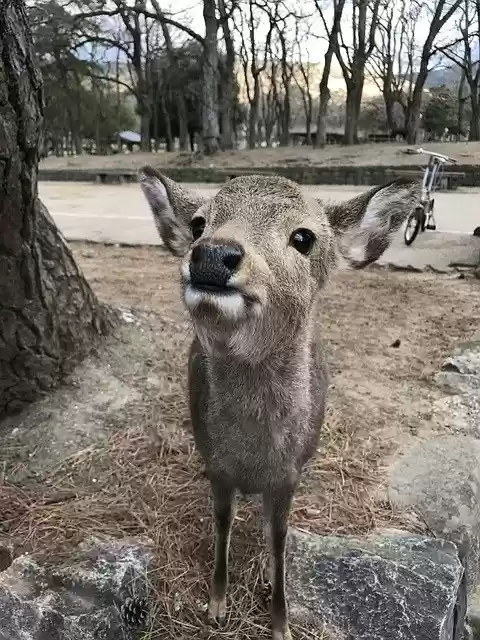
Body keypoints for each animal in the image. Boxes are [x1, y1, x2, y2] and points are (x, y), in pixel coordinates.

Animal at [139, 167, 420, 640]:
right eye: (198, 223)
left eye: (303, 237)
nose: (212, 253)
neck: (254, 460)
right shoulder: (216, 466)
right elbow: (222, 526)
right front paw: (217, 605)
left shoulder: (290, 475)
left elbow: (280, 538)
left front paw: (280, 622)